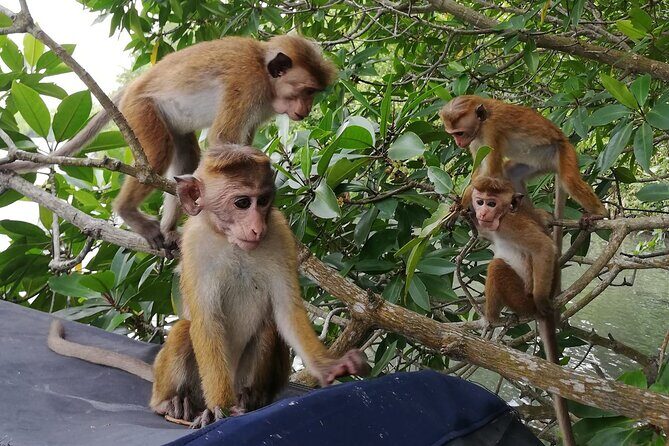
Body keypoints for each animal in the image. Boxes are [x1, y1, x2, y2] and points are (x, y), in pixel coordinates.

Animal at [9, 34, 337, 251]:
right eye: (306, 91)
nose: (307, 109)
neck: (264, 71)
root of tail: (135, 84)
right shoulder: (246, 84)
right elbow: (222, 140)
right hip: (140, 110)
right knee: (156, 159)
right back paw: (128, 211)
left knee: (188, 155)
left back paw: (169, 228)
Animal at [47, 143, 370, 428]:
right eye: (242, 203)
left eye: (263, 201)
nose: (257, 227)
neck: (230, 241)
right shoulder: (193, 244)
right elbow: (206, 321)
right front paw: (219, 409)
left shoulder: (280, 234)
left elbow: (286, 309)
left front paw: (329, 366)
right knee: (184, 331)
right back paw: (172, 403)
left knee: (267, 327)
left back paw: (251, 399)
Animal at [440, 95, 607, 221]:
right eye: (453, 134)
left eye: (459, 133)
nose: (458, 142)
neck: (484, 120)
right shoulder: (476, 140)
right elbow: (481, 170)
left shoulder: (491, 130)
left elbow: (490, 173)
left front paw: (461, 204)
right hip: (540, 161)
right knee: (511, 172)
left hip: (565, 152)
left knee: (570, 180)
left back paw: (600, 213)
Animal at [469, 175, 576, 446]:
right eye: (480, 201)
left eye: (492, 203)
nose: (482, 211)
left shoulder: (511, 224)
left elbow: (544, 248)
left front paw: (542, 301)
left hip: (520, 298)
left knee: (497, 267)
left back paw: (492, 318)